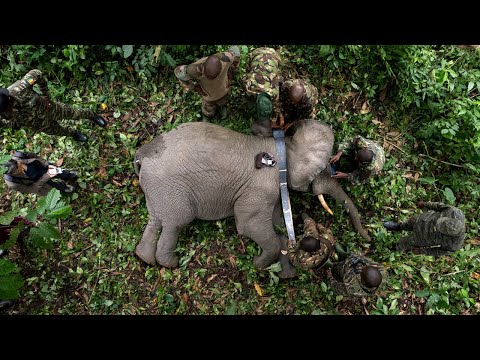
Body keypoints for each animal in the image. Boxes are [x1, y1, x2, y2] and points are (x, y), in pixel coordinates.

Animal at [133, 120, 370, 278]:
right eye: (323, 170)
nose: (368, 240)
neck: (283, 145)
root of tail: (142, 154)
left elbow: (277, 227)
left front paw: (285, 274)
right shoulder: (261, 186)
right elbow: (249, 225)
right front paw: (259, 265)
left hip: (157, 189)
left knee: (156, 220)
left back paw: (145, 258)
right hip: (171, 188)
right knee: (176, 222)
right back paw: (170, 263)